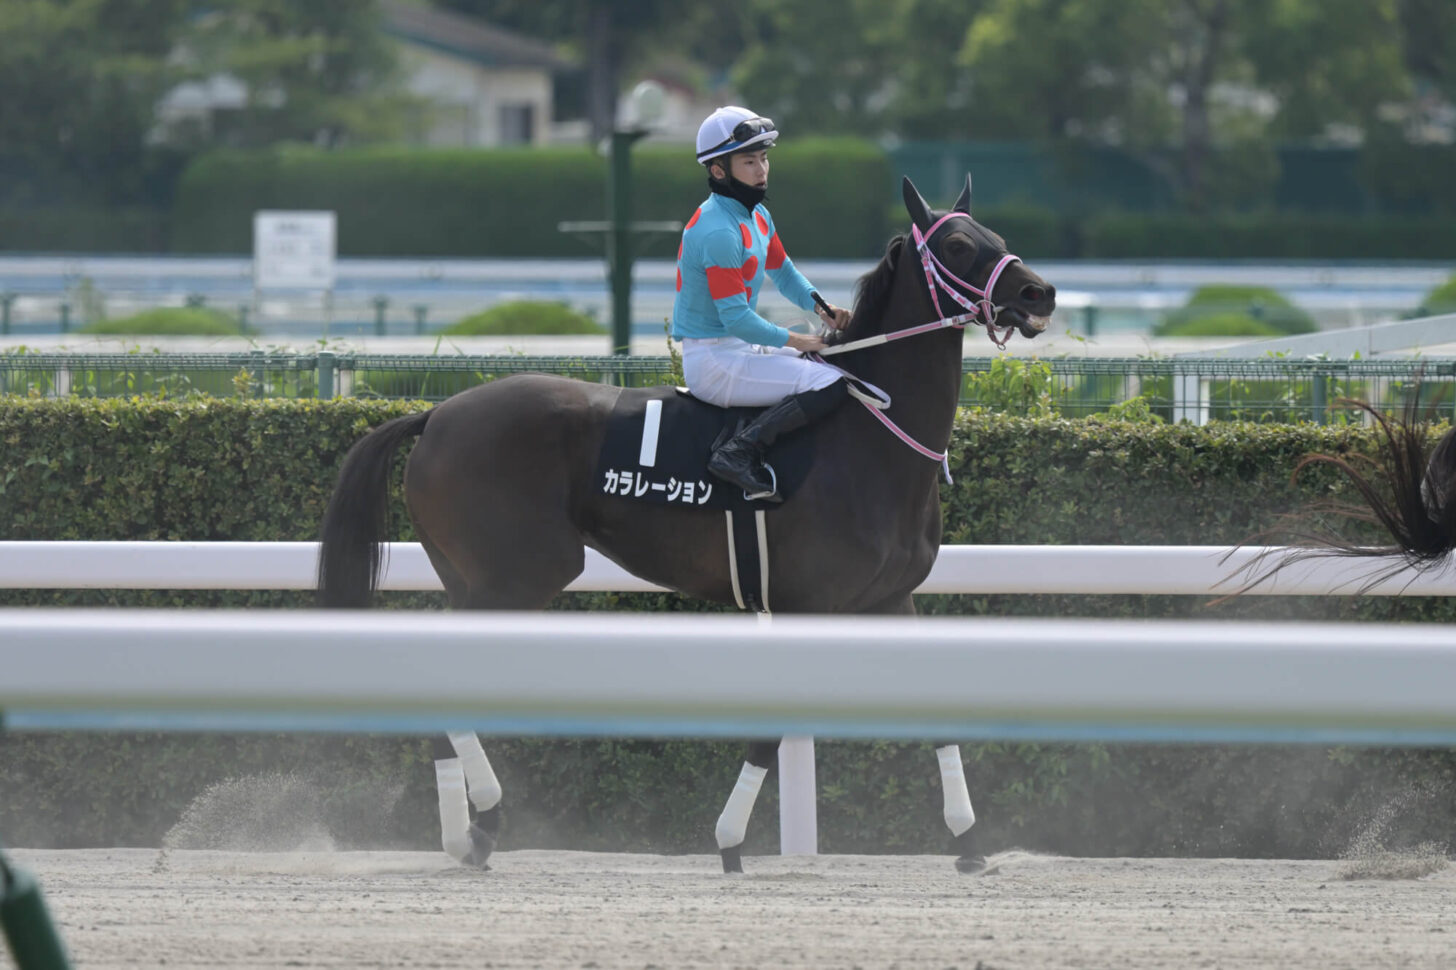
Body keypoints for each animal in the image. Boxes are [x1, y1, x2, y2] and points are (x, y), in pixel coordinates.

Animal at [315, 171, 1059, 868]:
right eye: (957, 246)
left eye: (992, 233)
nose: (1040, 294)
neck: (869, 433)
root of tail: (437, 414)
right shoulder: (805, 603)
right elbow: (773, 725)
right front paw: (729, 840)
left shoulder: (889, 599)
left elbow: (938, 708)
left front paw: (968, 840)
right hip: (517, 575)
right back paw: (486, 818)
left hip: (476, 575)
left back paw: (465, 831)